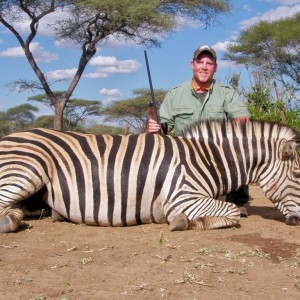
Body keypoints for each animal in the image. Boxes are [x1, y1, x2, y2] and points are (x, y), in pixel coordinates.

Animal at [0, 118, 298, 233]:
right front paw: (186, 222)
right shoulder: (183, 197)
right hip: (27, 170)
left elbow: (234, 210)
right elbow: (233, 213)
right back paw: (11, 222)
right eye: (297, 175)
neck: (206, 158)